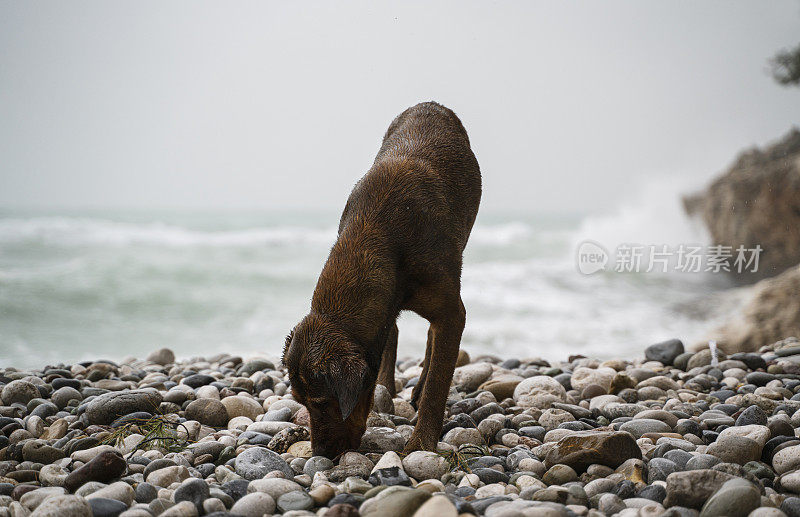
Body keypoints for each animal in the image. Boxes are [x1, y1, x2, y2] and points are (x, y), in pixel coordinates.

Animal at [282, 101, 478, 456]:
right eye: (300, 401)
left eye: (322, 402)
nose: (320, 454)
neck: (376, 237)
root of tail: (431, 104)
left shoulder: (451, 311)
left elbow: (437, 386)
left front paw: (421, 442)